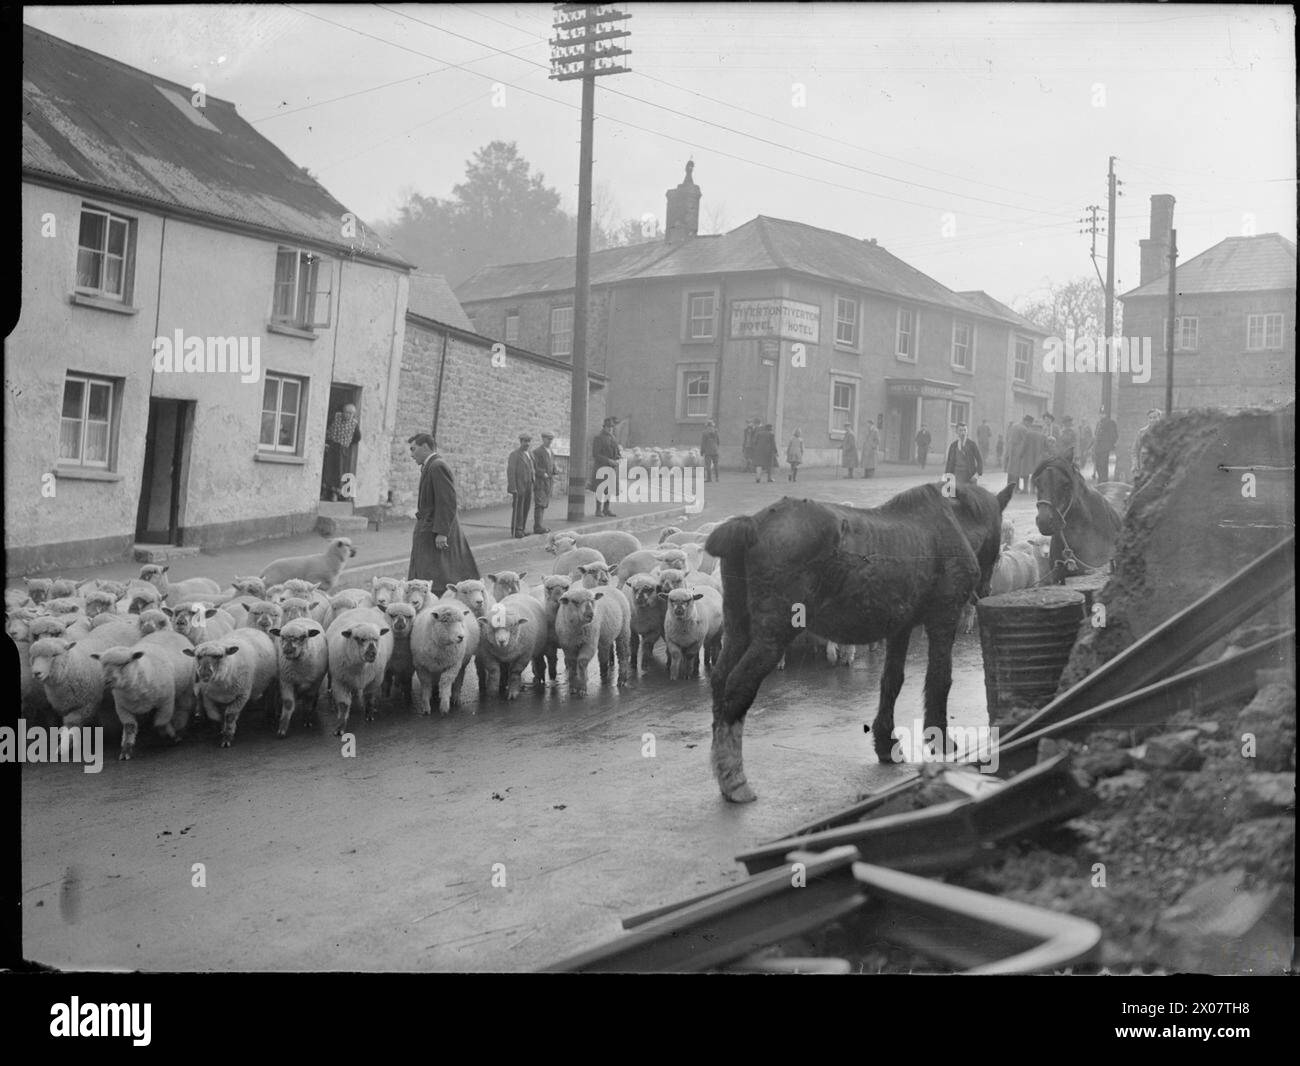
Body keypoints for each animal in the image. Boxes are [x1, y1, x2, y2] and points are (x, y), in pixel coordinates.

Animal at [702, 480, 1013, 800]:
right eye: (999, 544)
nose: (985, 591)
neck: (951, 524)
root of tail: (753, 523)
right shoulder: (943, 619)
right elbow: (940, 679)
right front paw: (940, 740)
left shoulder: (900, 628)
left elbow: (892, 681)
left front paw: (886, 743)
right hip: (772, 637)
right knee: (737, 687)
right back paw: (734, 780)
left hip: (738, 630)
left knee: (720, 679)